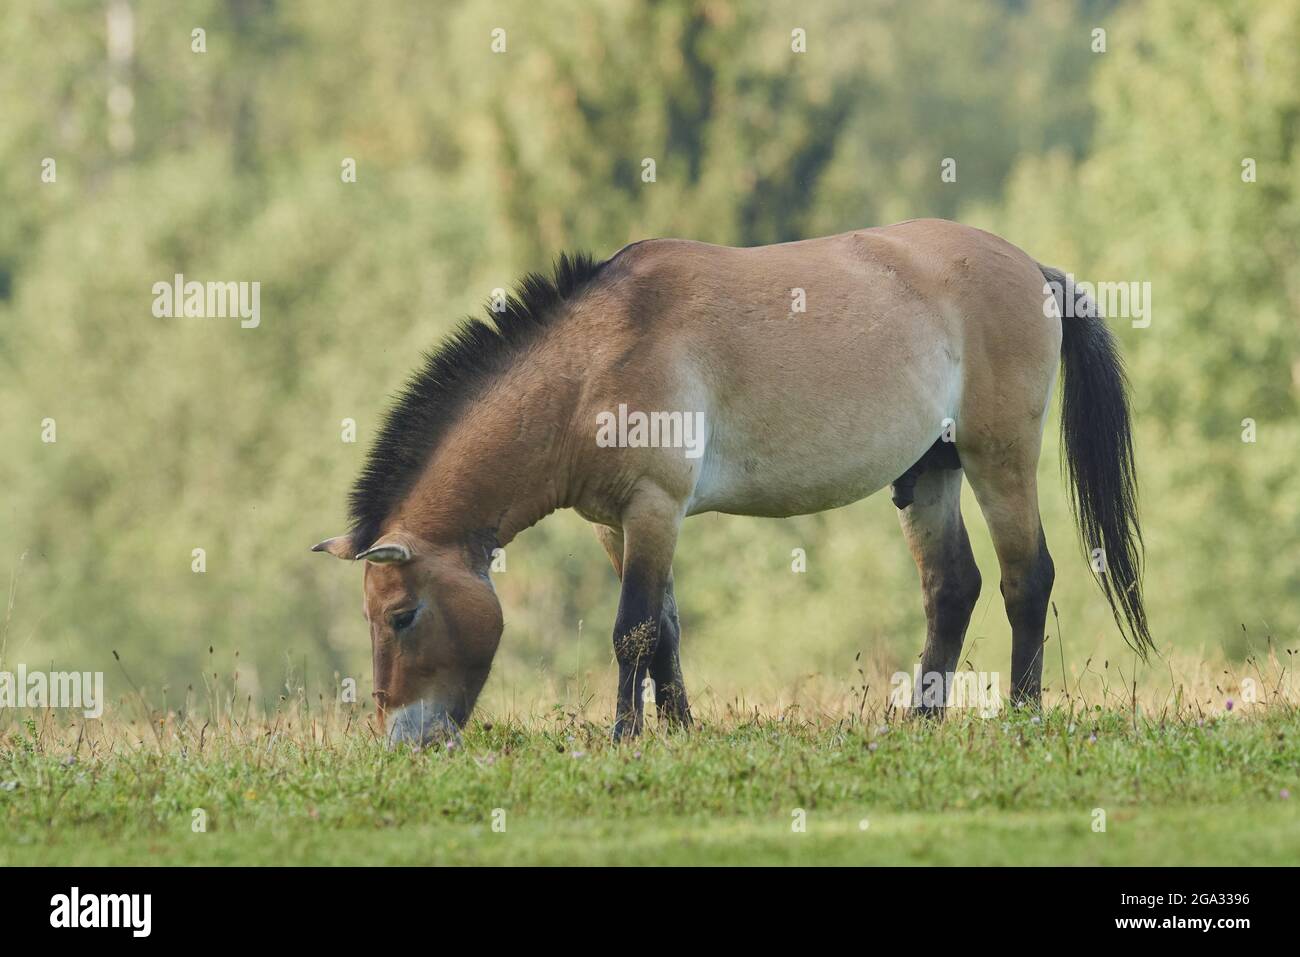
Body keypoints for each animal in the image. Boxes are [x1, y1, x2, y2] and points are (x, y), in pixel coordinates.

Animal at [312, 218, 1149, 748]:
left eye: (403, 616)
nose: (404, 741)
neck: (597, 359)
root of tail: (1036, 269)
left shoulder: (655, 506)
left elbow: (633, 629)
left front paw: (626, 734)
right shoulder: (616, 522)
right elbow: (666, 628)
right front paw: (680, 729)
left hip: (997, 456)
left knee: (1025, 579)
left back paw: (1024, 714)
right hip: (930, 472)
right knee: (953, 588)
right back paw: (921, 719)